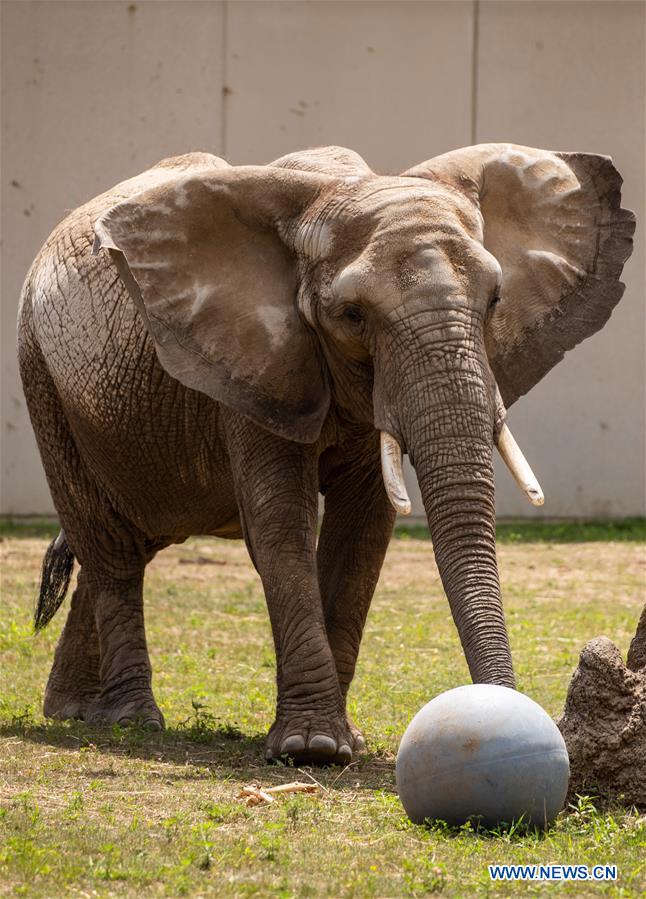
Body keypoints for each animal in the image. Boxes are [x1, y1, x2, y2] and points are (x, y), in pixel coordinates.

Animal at [16, 144, 636, 764]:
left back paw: (76, 712)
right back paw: (131, 721)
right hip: (42, 378)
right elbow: (281, 523)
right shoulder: (256, 360)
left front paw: (343, 743)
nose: (514, 720)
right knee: (110, 547)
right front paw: (310, 748)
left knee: (129, 540)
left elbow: (362, 530)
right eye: (353, 316)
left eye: (496, 300)